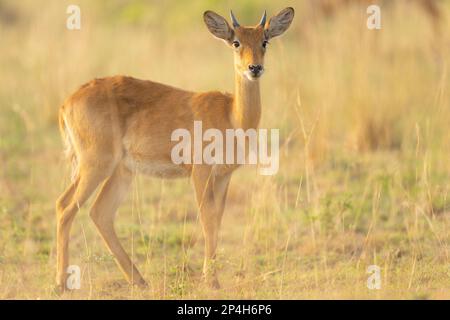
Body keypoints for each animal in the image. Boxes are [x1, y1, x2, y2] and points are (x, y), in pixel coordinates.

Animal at [55, 8, 296, 292]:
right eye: (236, 42)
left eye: (265, 41)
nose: (254, 68)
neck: (232, 116)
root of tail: (67, 103)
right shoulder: (200, 172)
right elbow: (207, 219)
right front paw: (211, 281)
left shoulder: (223, 175)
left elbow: (217, 219)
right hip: (95, 165)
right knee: (65, 206)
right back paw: (61, 284)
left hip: (121, 172)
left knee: (99, 213)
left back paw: (140, 281)